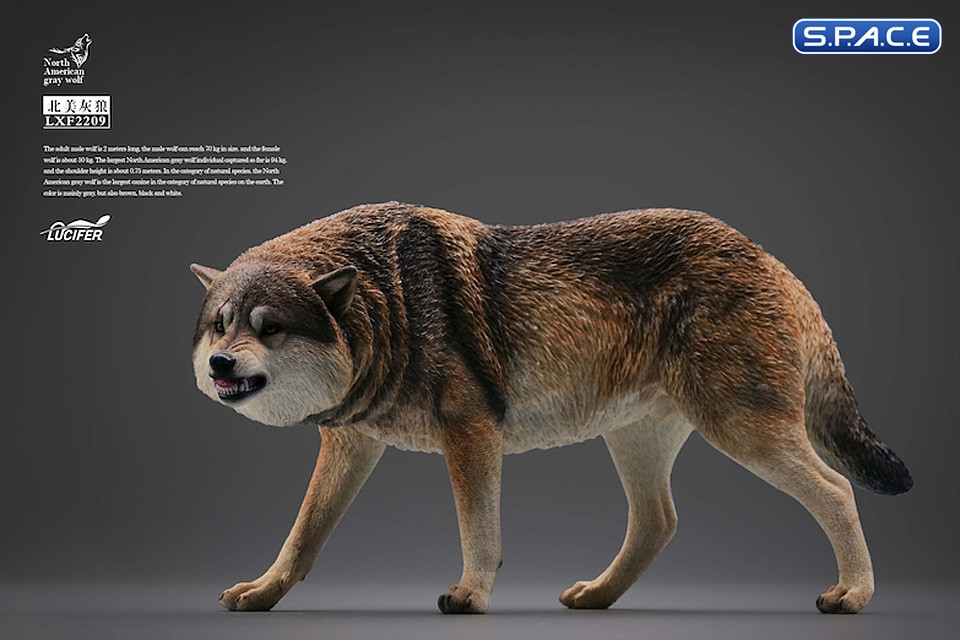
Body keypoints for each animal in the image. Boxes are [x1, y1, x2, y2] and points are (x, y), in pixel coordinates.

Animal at [191, 201, 911, 615]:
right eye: (219, 324)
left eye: (270, 327)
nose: (219, 365)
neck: (388, 301)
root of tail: (767, 256)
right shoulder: (352, 443)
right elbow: (301, 535)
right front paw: (262, 593)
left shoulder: (471, 433)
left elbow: (478, 530)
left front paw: (472, 595)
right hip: (638, 441)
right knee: (660, 521)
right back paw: (597, 596)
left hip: (743, 429)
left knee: (837, 489)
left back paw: (853, 594)